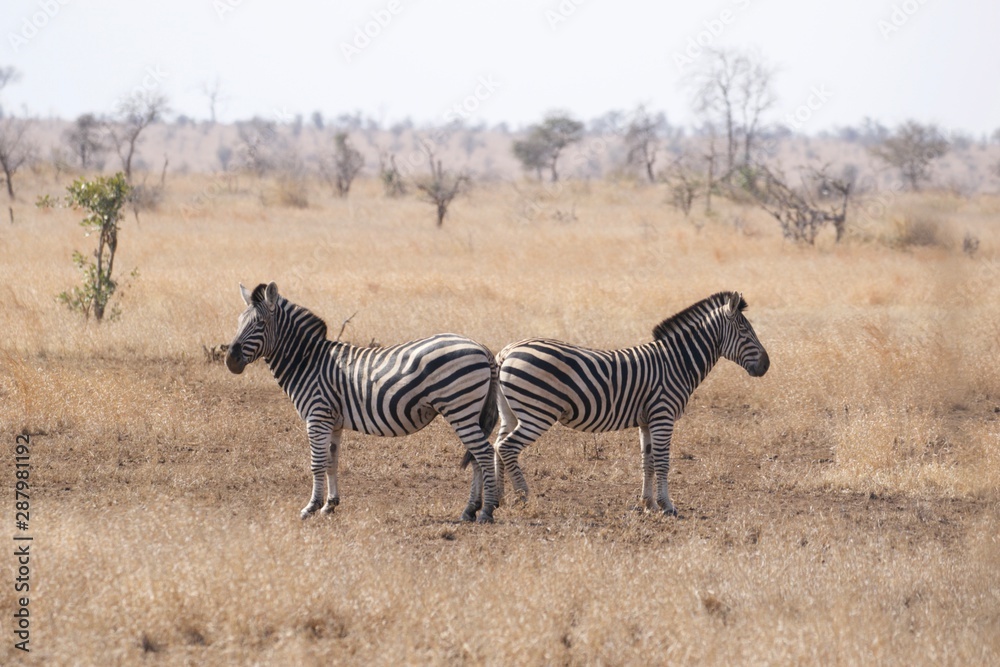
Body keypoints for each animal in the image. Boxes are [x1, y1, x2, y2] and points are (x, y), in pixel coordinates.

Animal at [225, 282, 500, 523]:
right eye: (238, 323)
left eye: (260, 324)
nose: (230, 361)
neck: (307, 361)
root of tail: (481, 347)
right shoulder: (333, 421)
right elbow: (331, 462)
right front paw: (330, 505)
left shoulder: (317, 416)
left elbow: (316, 464)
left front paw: (310, 508)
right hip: (470, 413)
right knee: (476, 457)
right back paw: (471, 509)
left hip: (459, 409)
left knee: (485, 453)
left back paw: (485, 512)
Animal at [491, 291, 769, 516]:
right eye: (745, 331)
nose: (766, 365)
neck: (677, 363)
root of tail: (507, 351)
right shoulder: (663, 415)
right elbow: (663, 461)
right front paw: (667, 505)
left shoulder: (646, 421)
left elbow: (648, 462)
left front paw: (648, 504)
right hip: (538, 413)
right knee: (508, 447)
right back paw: (524, 497)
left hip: (511, 413)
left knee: (497, 445)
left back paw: (498, 499)